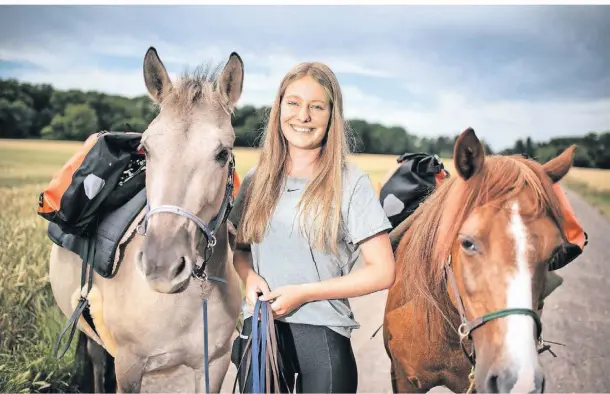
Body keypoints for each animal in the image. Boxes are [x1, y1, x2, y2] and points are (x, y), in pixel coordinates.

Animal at [50, 47, 243, 392]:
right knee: (97, 362)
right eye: (147, 149)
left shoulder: (215, 364)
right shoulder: (129, 367)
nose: (161, 266)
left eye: (223, 154)